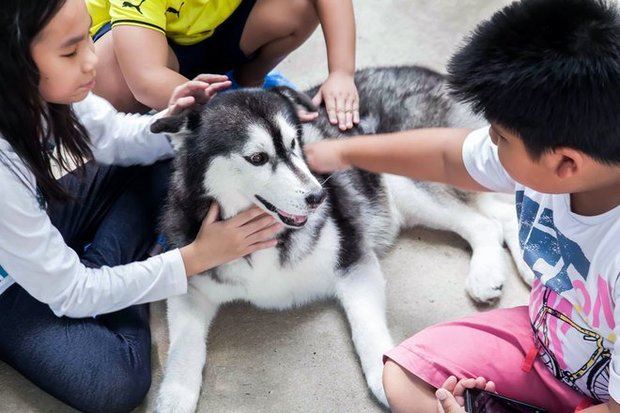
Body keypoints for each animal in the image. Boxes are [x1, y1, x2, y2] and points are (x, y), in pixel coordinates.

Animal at [150, 66, 528, 410]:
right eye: (257, 158)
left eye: (294, 143)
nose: (319, 196)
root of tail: (433, 75)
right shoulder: (192, 277)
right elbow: (184, 346)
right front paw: (174, 398)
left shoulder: (354, 259)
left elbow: (366, 329)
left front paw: (385, 381)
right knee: (497, 216)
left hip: (411, 176)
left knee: (487, 220)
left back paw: (497, 272)